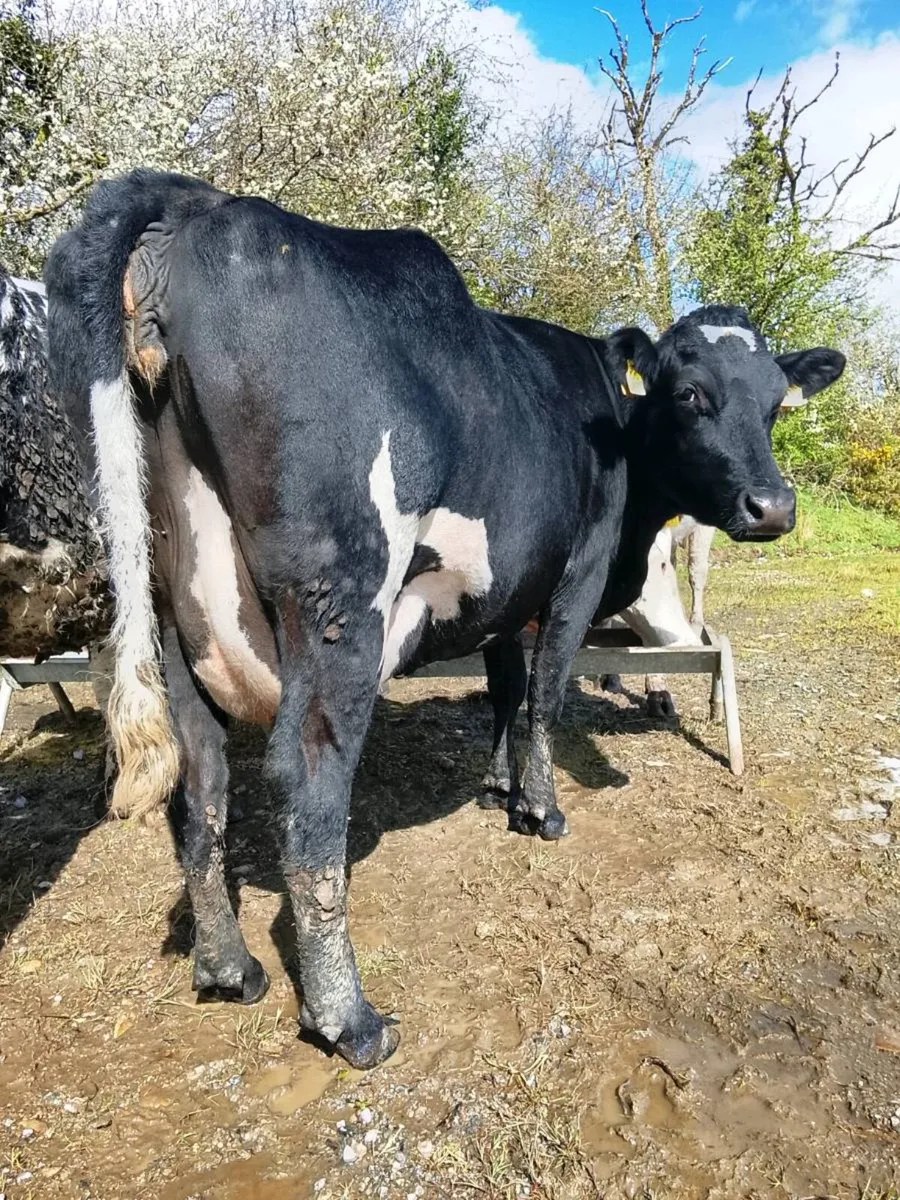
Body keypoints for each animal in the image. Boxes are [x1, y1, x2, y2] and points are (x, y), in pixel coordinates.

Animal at [45, 169, 845, 1069]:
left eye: (776, 404)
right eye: (690, 394)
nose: (773, 506)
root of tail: (192, 201)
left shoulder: (506, 593)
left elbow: (503, 688)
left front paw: (498, 785)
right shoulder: (576, 573)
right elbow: (545, 696)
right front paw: (541, 810)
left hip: (166, 606)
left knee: (201, 778)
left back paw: (227, 967)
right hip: (340, 599)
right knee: (308, 777)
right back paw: (347, 1018)